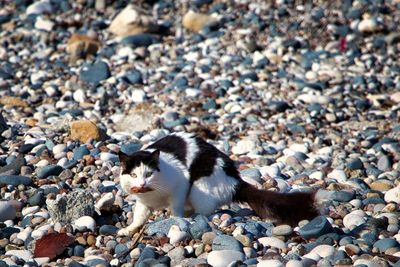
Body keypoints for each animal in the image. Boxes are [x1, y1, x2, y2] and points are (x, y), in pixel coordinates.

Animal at [117, 132, 330, 237]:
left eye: (148, 173)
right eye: (134, 175)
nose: (141, 183)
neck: (152, 193)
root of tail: (235, 180)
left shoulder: (180, 186)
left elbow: (175, 208)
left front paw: (175, 220)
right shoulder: (142, 202)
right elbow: (139, 216)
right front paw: (128, 229)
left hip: (198, 187)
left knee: (205, 211)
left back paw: (193, 217)